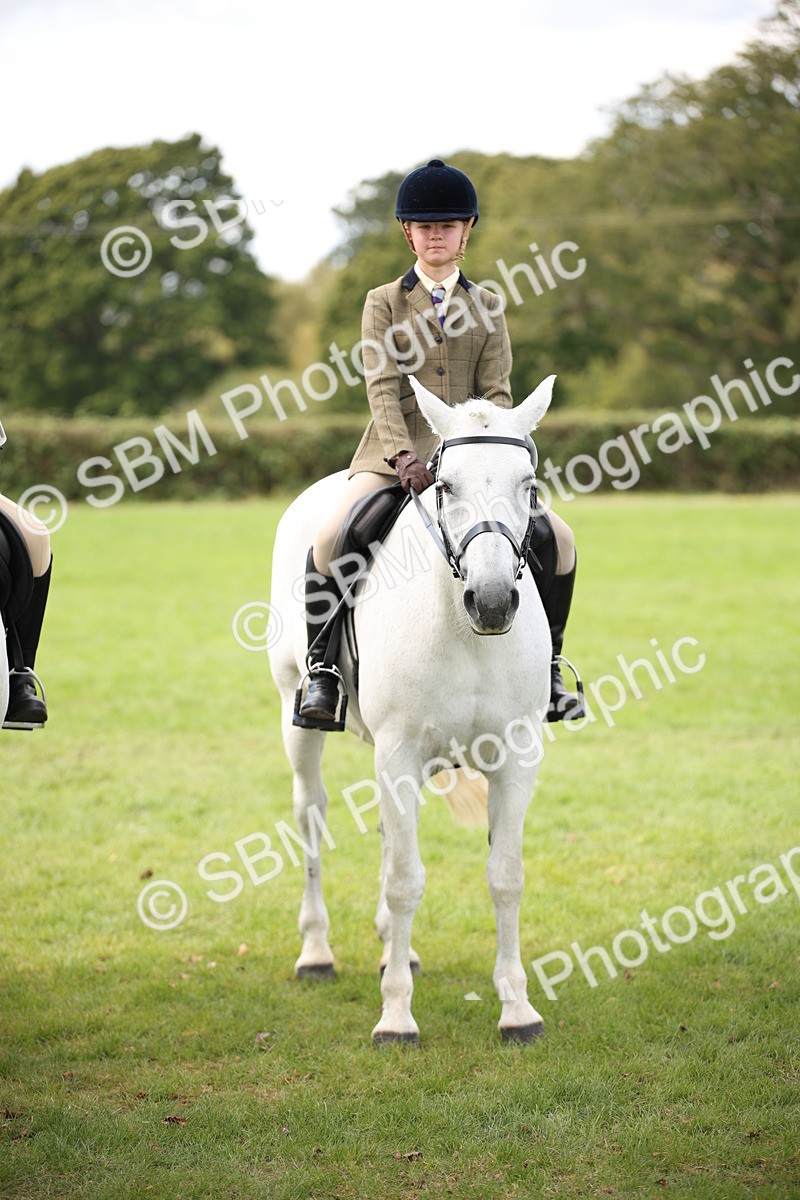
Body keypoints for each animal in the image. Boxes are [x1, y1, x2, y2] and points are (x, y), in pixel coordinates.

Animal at [267, 374, 556, 1045]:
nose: (493, 601)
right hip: (298, 710)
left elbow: (506, 876)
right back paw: (316, 953)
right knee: (311, 812)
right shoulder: (400, 754)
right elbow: (405, 882)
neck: (465, 629)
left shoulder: (517, 757)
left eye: (528, 485)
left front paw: (517, 1009)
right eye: (446, 486)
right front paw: (396, 1017)